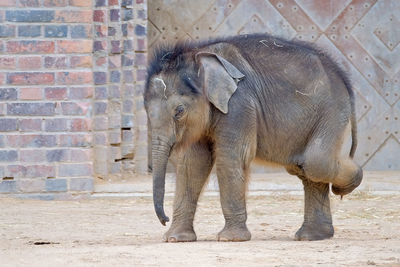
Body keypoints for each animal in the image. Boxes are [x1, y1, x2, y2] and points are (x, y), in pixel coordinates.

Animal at [144, 33, 362, 243]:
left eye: (179, 111)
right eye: (145, 110)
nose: (164, 220)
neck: (199, 54)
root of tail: (345, 82)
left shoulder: (240, 103)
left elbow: (230, 159)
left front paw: (231, 239)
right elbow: (193, 164)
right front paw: (175, 239)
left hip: (332, 114)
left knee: (316, 162)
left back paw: (347, 184)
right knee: (306, 167)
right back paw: (312, 236)